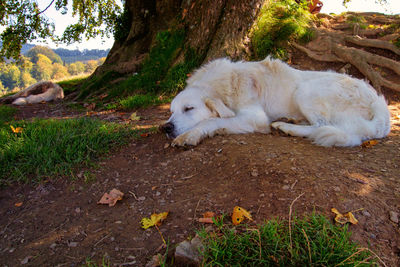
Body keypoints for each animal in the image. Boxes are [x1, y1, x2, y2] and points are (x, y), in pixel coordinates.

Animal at [160, 57, 390, 148]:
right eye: (171, 112)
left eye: (189, 108)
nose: (166, 128)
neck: (225, 85)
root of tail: (376, 100)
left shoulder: (256, 117)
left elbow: (211, 121)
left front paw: (190, 135)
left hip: (306, 90)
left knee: (322, 126)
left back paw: (286, 127)